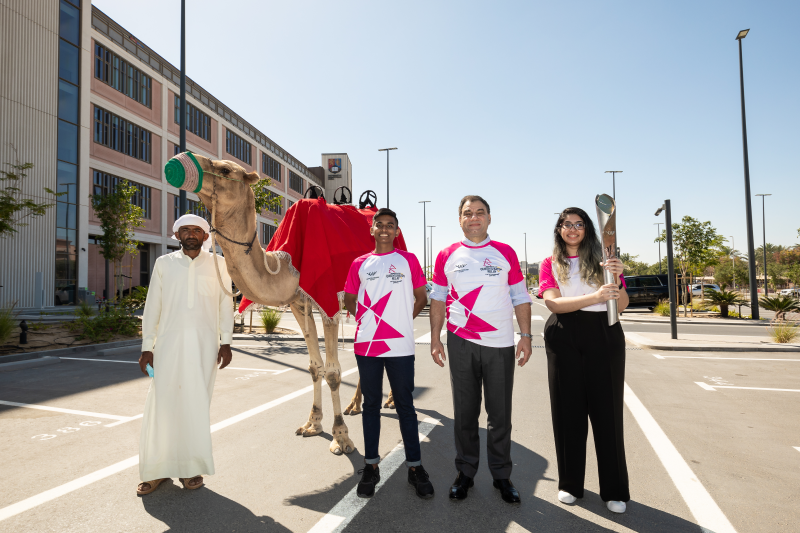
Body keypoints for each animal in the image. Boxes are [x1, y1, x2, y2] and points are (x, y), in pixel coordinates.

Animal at [171, 152, 390, 456]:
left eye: (225, 169)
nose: (179, 159)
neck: (286, 265)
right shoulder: (299, 303)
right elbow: (314, 367)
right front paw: (312, 424)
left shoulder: (327, 302)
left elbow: (334, 373)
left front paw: (341, 438)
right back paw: (355, 405)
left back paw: (388, 401)